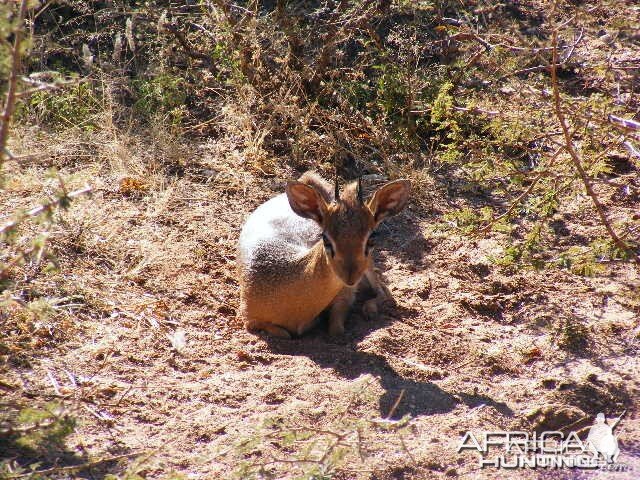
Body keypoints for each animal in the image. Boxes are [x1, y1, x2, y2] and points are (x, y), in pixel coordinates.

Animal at [239, 172, 410, 338]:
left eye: (372, 237)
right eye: (326, 238)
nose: (350, 277)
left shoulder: (346, 294)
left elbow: (336, 330)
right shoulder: (248, 318)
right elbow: (282, 333)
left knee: (383, 289)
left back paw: (370, 309)